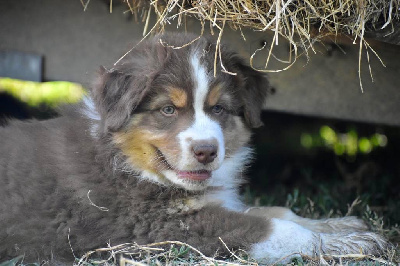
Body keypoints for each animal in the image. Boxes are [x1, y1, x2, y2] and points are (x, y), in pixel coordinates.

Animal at [0, 33, 388, 264]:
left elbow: (280, 212)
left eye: (218, 109)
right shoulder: (155, 229)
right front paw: (343, 244)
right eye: (168, 110)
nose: (206, 151)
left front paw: (343, 227)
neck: (123, 159)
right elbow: (274, 228)